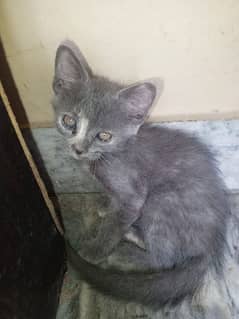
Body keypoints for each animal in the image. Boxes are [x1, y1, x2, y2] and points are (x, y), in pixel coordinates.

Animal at [52, 40, 230, 310]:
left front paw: (96, 249)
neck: (109, 155)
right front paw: (106, 204)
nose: (78, 149)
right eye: (69, 120)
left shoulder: (132, 191)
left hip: (163, 200)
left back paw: (124, 253)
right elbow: (112, 201)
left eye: (104, 135)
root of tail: (210, 247)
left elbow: (116, 221)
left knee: (163, 258)